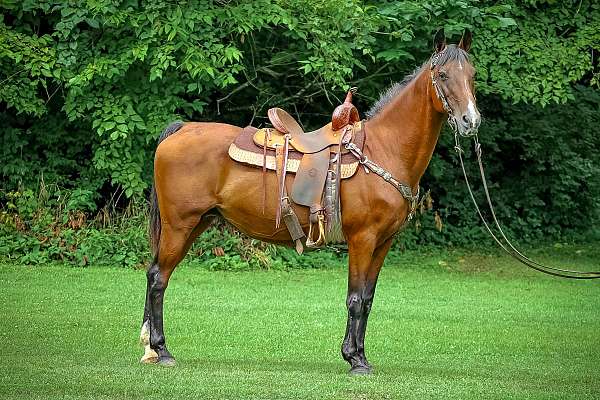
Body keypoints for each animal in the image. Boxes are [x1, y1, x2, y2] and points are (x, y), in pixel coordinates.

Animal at [138, 29, 480, 374]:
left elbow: (368, 299)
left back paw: (152, 348)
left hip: (197, 223)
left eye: (472, 75)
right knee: (158, 279)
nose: (471, 121)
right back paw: (161, 350)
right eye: (443, 75)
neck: (383, 149)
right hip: (179, 226)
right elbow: (355, 298)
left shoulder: (383, 243)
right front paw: (353, 359)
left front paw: (361, 354)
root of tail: (180, 129)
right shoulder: (362, 239)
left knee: (156, 274)